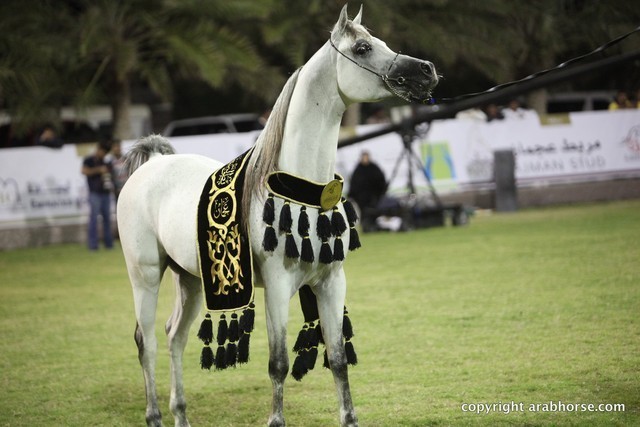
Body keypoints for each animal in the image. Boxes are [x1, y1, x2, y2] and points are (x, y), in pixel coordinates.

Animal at [117, 5, 438, 427]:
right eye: (363, 48)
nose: (427, 70)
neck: (301, 187)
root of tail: (152, 165)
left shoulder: (331, 283)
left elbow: (338, 359)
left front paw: (349, 417)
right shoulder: (279, 285)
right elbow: (279, 363)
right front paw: (276, 419)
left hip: (192, 280)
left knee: (175, 337)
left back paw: (180, 414)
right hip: (146, 276)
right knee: (147, 342)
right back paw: (154, 414)